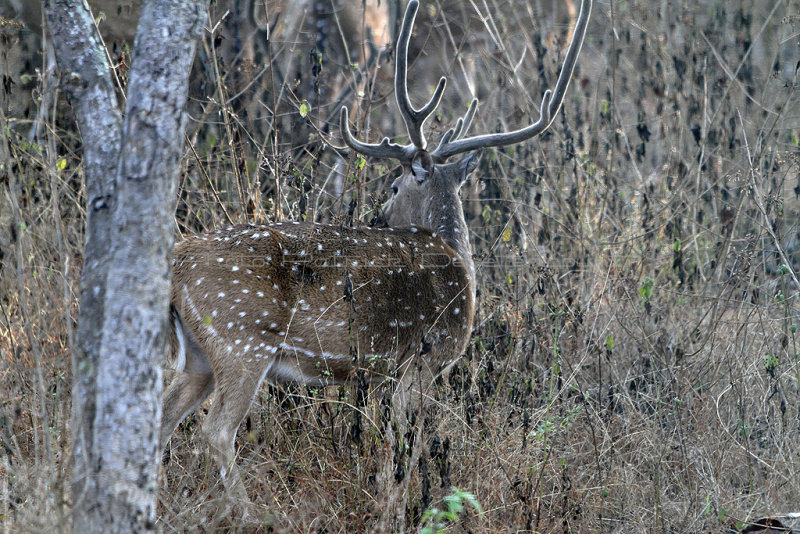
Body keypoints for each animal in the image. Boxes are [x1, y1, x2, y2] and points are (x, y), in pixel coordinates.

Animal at [162, 0, 592, 506]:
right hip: (242, 336)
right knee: (215, 430)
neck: (459, 266)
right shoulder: (421, 361)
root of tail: (178, 261)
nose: (379, 216)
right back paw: (247, 511)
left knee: (164, 416)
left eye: (392, 186)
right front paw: (398, 505)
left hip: (200, 352)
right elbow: (404, 446)